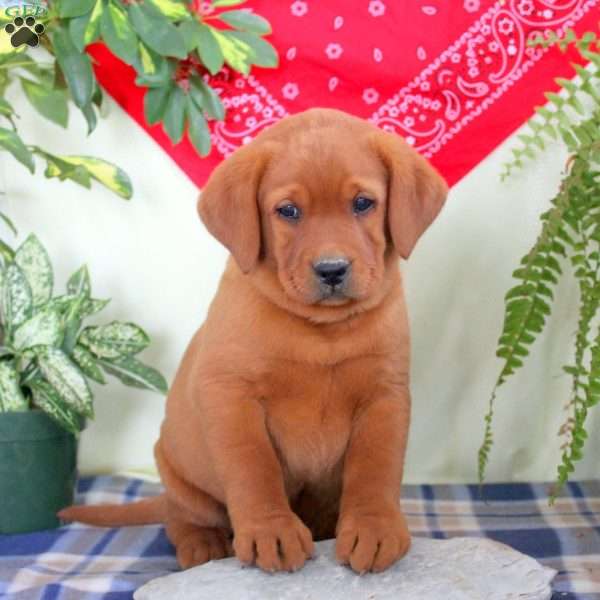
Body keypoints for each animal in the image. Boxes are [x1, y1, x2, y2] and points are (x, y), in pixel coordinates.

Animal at [61, 108, 448, 576]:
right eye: (288, 210)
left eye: (362, 203)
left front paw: (374, 527)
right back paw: (202, 544)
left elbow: (375, 468)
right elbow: (253, 467)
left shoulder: (385, 396)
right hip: (175, 470)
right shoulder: (230, 394)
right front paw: (271, 530)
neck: (322, 331)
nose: (332, 269)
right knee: (180, 516)